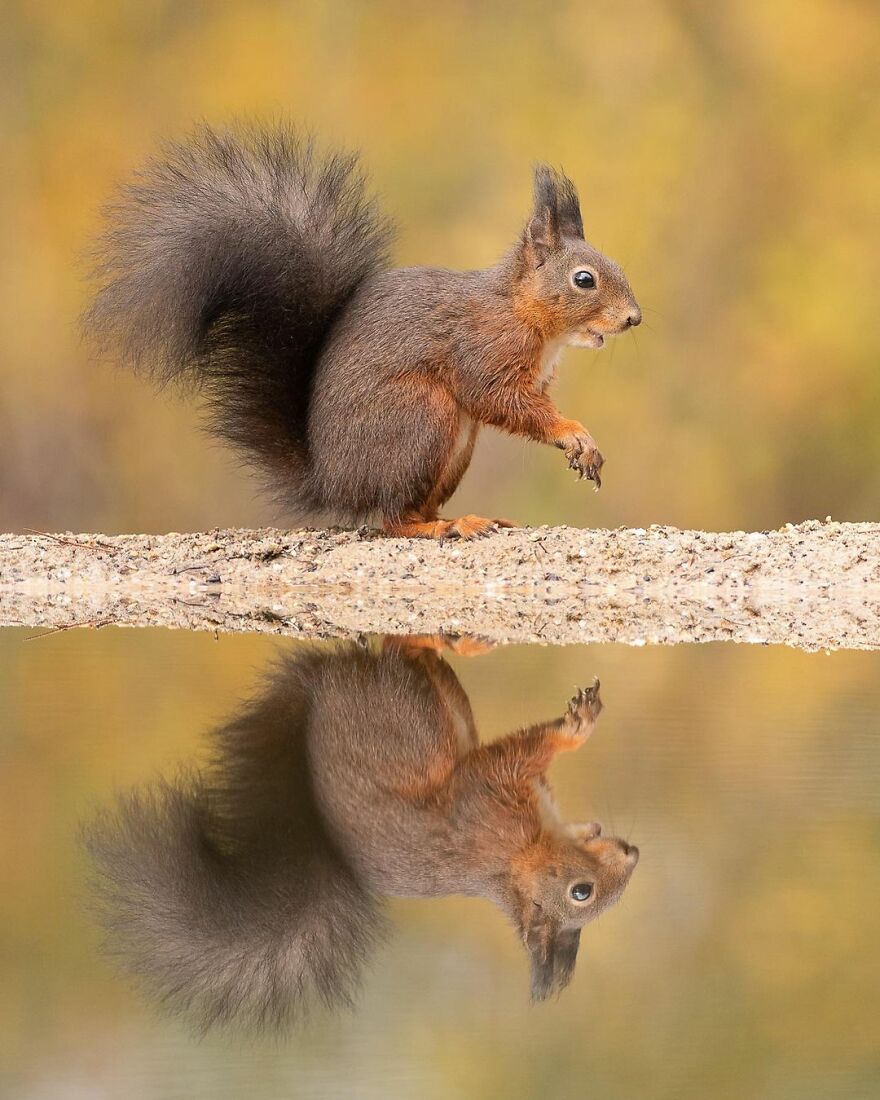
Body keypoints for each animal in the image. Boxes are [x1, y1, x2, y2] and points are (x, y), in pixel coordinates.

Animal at [83, 636, 638, 1033]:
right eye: (582, 893)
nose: (634, 852)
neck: (527, 852)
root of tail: (317, 699)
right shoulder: (489, 798)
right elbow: (523, 751)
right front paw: (575, 728)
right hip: (410, 720)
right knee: (401, 657)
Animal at [84, 122, 641, 538]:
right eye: (584, 279)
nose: (634, 318)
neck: (525, 314)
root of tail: (333, 484)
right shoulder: (482, 349)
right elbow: (501, 400)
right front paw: (572, 433)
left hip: (451, 445)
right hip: (420, 419)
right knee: (391, 519)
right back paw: (445, 527)